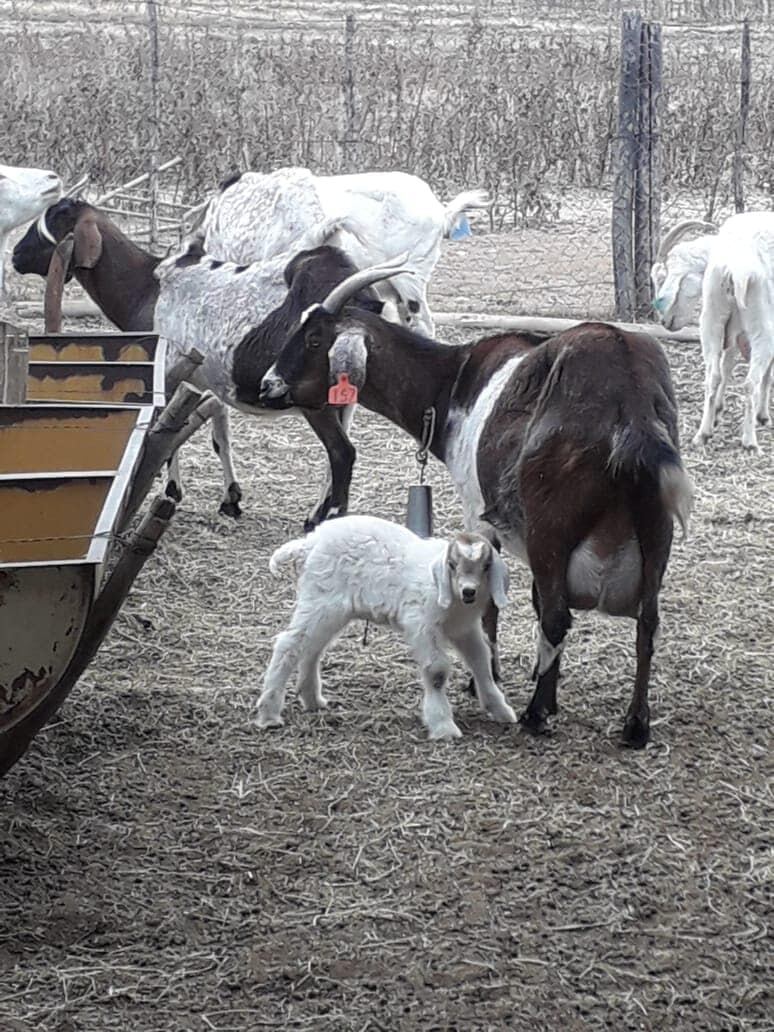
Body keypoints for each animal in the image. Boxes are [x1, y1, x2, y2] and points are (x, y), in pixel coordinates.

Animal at [258, 268, 693, 751]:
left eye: (315, 338)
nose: (267, 385)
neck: (455, 385)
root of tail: (629, 402)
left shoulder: (478, 512)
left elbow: (493, 605)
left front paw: (489, 681)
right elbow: (536, 603)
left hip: (551, 527)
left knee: (560, 617)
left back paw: (536, 715)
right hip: (656, 530)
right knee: (647, 622)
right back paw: (636, 724)